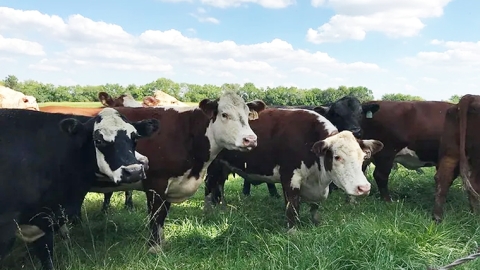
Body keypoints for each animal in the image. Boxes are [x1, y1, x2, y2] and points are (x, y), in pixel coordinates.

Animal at [38, 90, 266, 253]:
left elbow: (163, 216)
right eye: (225, 114)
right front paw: (154, 248)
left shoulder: (170, 185)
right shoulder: (156, 183)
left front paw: (162, 242)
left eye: (247, 115)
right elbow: (155, 216)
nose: (251, 139)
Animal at [204, 108, 384, 231]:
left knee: (219, 185)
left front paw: (316, 222)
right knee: (209, 185)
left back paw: (222, 207)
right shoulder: (290, 177)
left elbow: (314, 207)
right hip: (213, 165)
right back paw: (208, 211)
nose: (364, 188)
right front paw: (293, 231)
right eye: (337, 157)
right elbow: (292, 207)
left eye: (363, 157)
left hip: (223, 166)